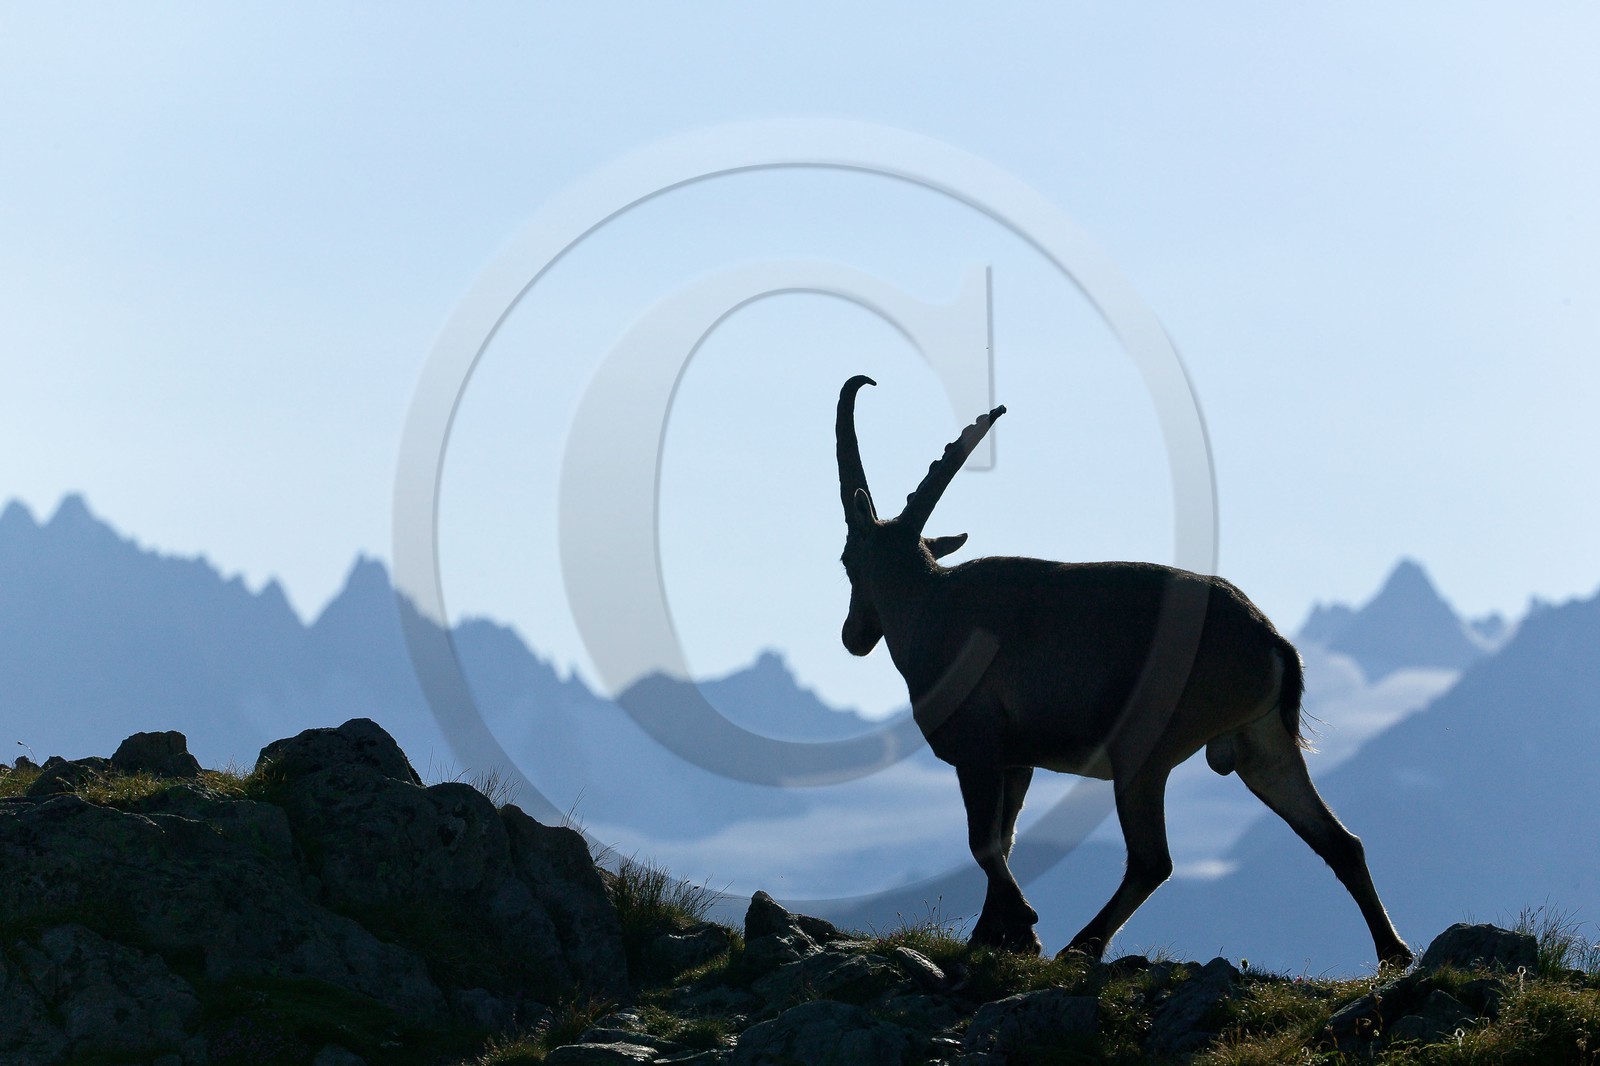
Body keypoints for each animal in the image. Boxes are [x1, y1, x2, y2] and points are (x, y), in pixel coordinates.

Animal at [835, 375, 1412, 967]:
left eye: (847, 559)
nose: (853, 637)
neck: (930, 607)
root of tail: (1273, 642)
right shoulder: (1015, 760)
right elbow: (1004, 839)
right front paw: (997, 937)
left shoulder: (979, 748)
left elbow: (984, 843)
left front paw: (1024, 925)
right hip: (1263, 746)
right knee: (1339, 841)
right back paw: (1393, 952)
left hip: (1142, 748)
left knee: (1153, 860)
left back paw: (1081, 945)